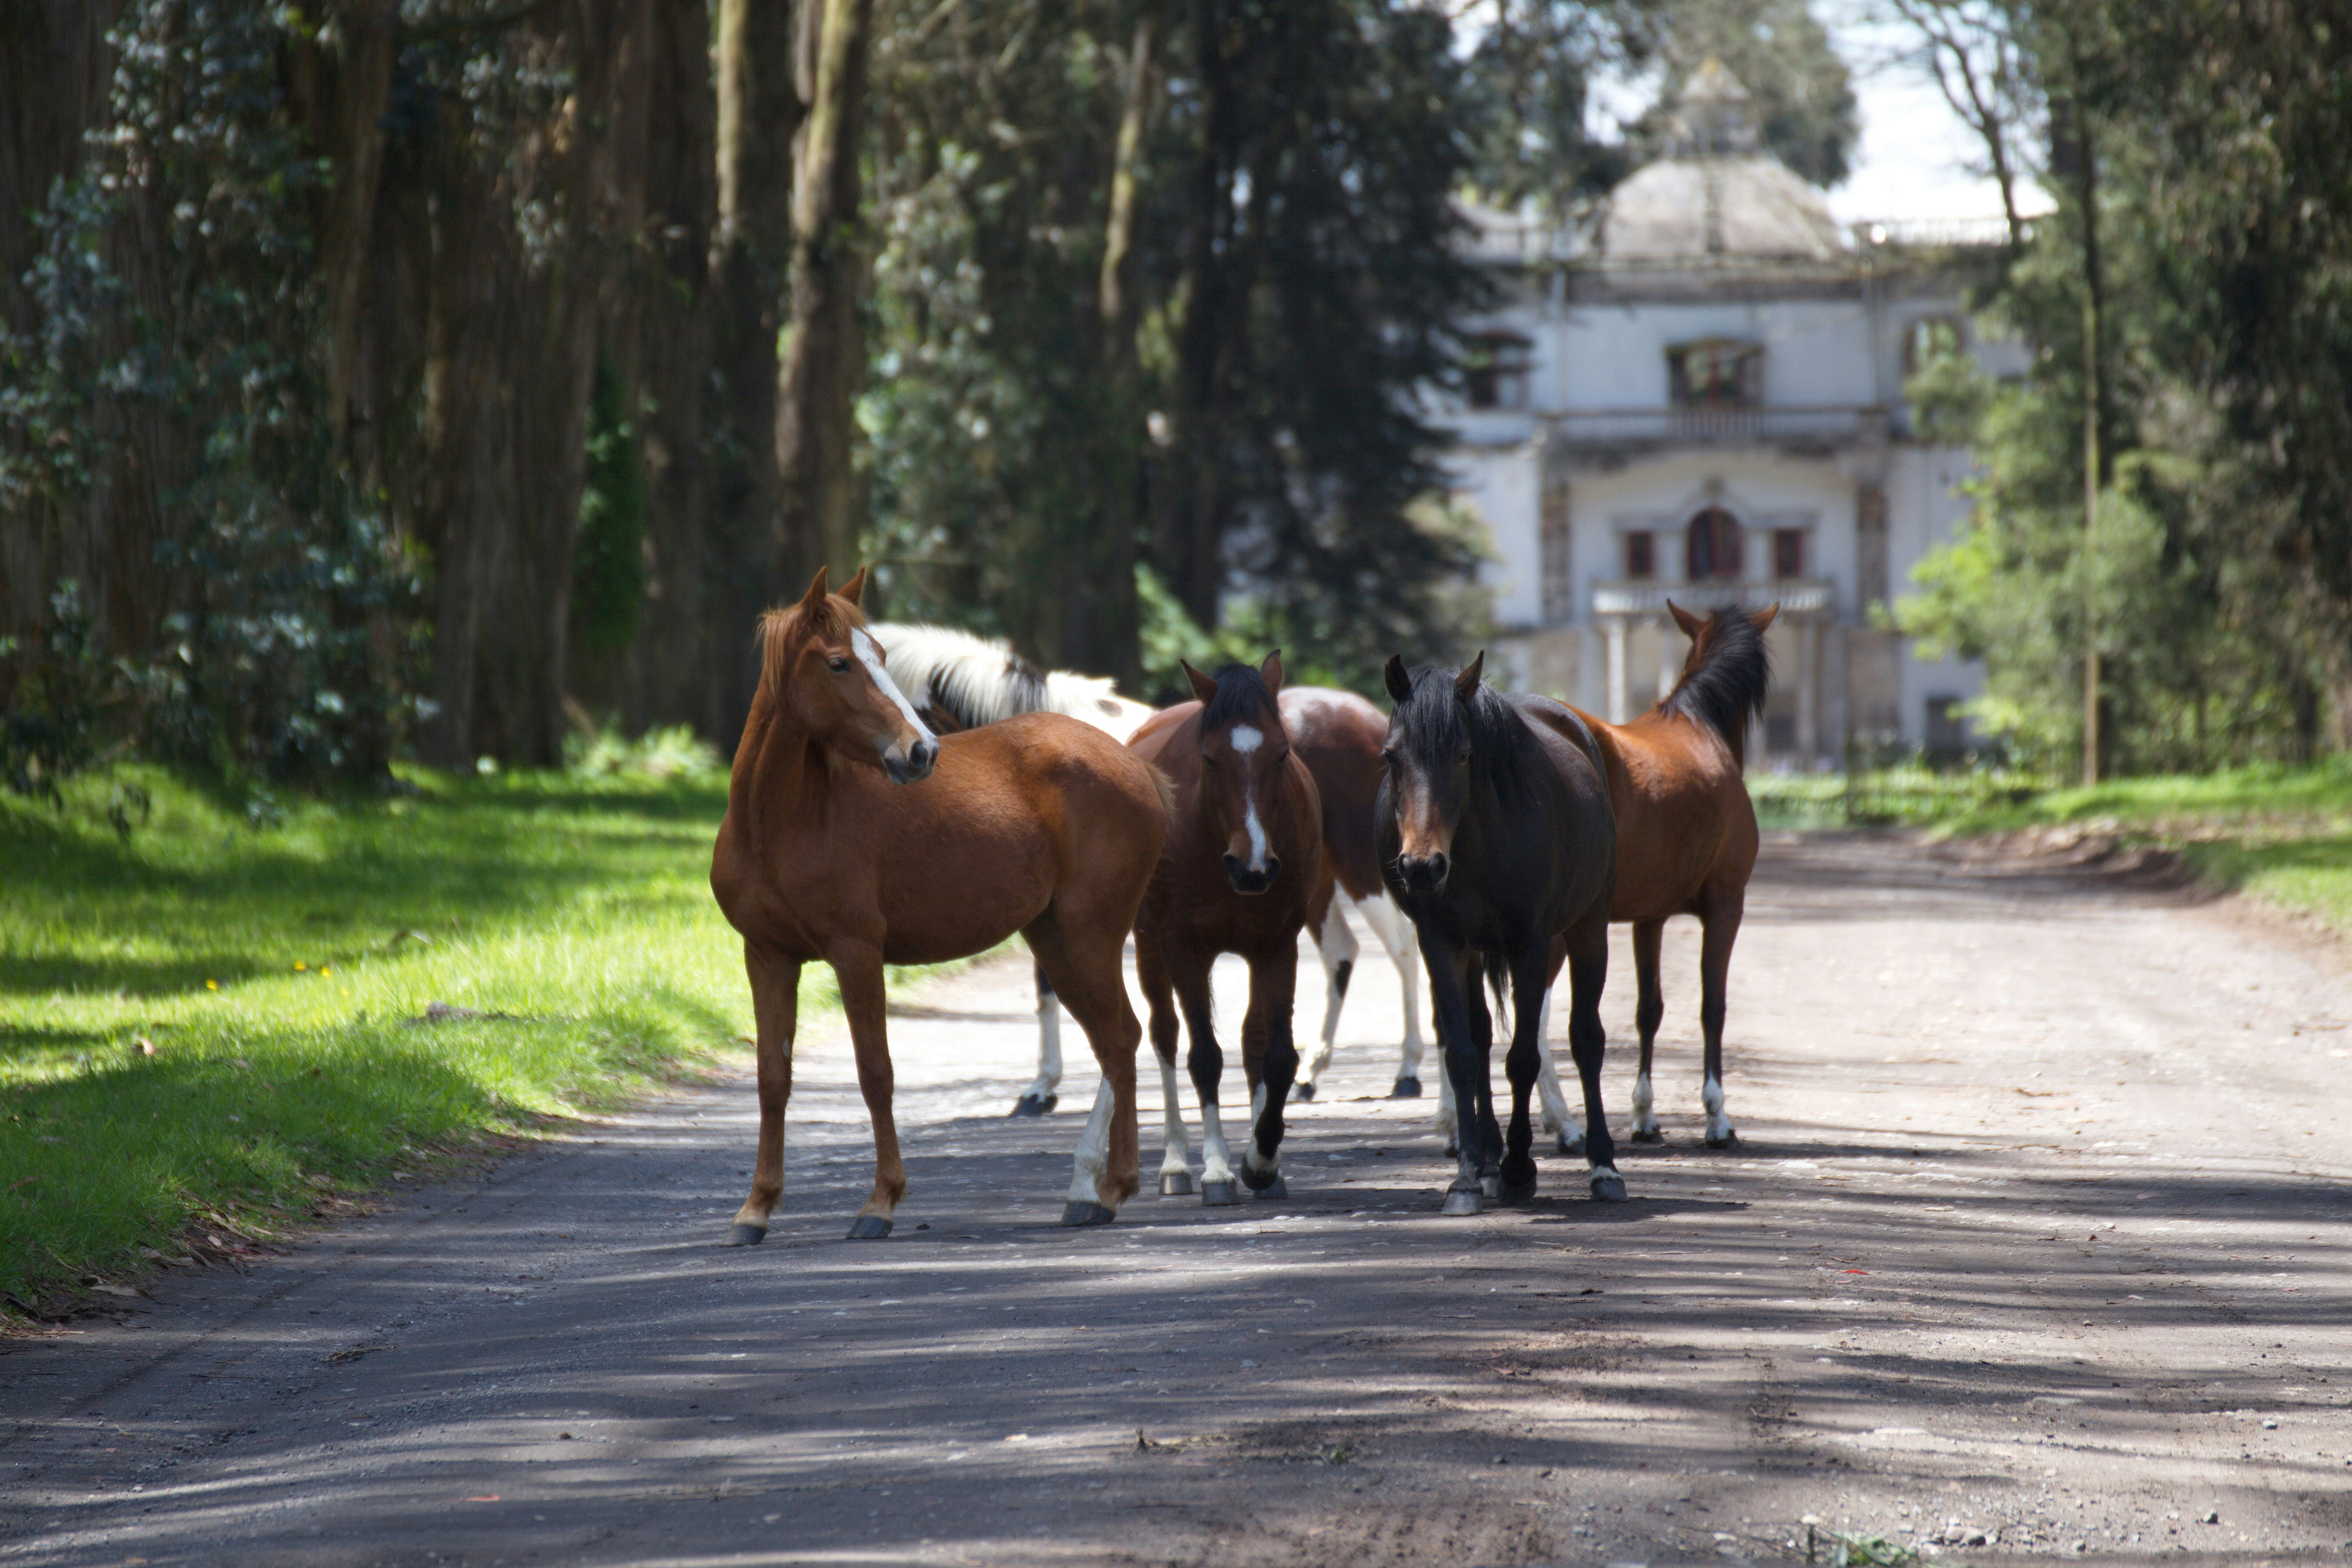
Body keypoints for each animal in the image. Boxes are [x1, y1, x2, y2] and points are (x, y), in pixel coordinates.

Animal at [1129, 654, 1325, 1205]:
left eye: (1282, 753)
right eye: (1210, 759)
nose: (1252, 866)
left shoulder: (1277, 945)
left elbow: (1275, 1055)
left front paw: (1263, 1159)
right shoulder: (1182, 948)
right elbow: (1204, 1057)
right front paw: (1217, 1170)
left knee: (1252, 1041)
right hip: (1149, 949)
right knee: (1166, 1036)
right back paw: (1176, 1161)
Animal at [1278, 686, 1431, 1103]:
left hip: (1362, 866)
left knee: (1402, 945)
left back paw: (1408, 1071)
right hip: (1317, 881)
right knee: (1341, 950)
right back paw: (1308, 1073)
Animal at [1379, 652, 1624, 1212]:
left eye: (1463, 755)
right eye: (1391, 756)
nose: (1422, 867)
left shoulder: (1531, 945)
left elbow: (1524, 1058)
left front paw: (1519, 1166)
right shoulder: (1442, 944)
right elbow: (1464, 1055)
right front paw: (1470, 1175)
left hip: (1587, 928)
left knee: (1586, 1038)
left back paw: (1602, 1164)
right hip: (1475, 952)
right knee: (1481, 1034)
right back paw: (1490, 1159)